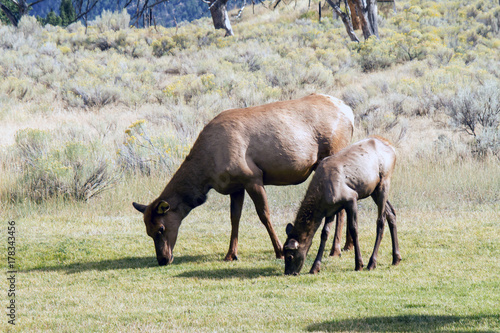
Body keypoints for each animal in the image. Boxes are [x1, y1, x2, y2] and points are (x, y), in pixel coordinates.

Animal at [131, 93, 354, 264]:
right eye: (147, 231)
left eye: (161, 228)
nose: (163, 259)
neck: (206, 172)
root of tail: (350, 113)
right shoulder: (235, 185)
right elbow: (234, 218)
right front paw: (231, 254)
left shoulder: (252, 177)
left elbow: (264, 214)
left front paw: (279, 250)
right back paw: (348, 244)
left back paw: (336, 249)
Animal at [286, 136, 402, 274]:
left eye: (290, 255)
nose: (288, 272)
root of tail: (393, 149)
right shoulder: (331, 209)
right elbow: (324, 233)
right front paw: (315, 267)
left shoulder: (351, 198)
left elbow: (353, 229)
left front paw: (359, 264)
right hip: (374, 190)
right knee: (391, 213)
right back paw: (396, 258)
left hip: (384, 181)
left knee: (381, 220)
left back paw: (372, 262)